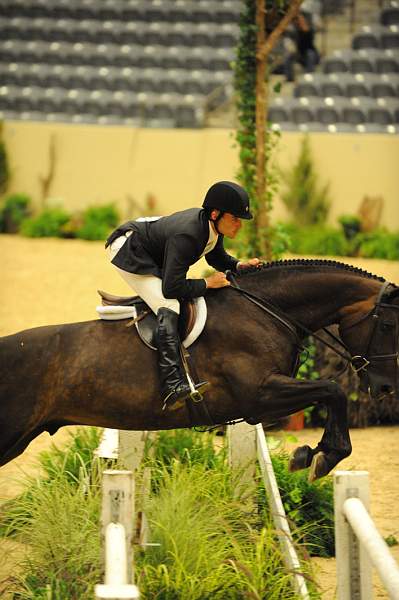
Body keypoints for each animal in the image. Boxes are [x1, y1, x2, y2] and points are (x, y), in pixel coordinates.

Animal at [0, 260, 398, 480]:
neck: (266, 310)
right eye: (389, 326)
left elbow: (330, 393)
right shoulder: (259, 396)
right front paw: (320, 457)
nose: (386, 389)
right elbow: (332, 389)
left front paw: (312, 454)